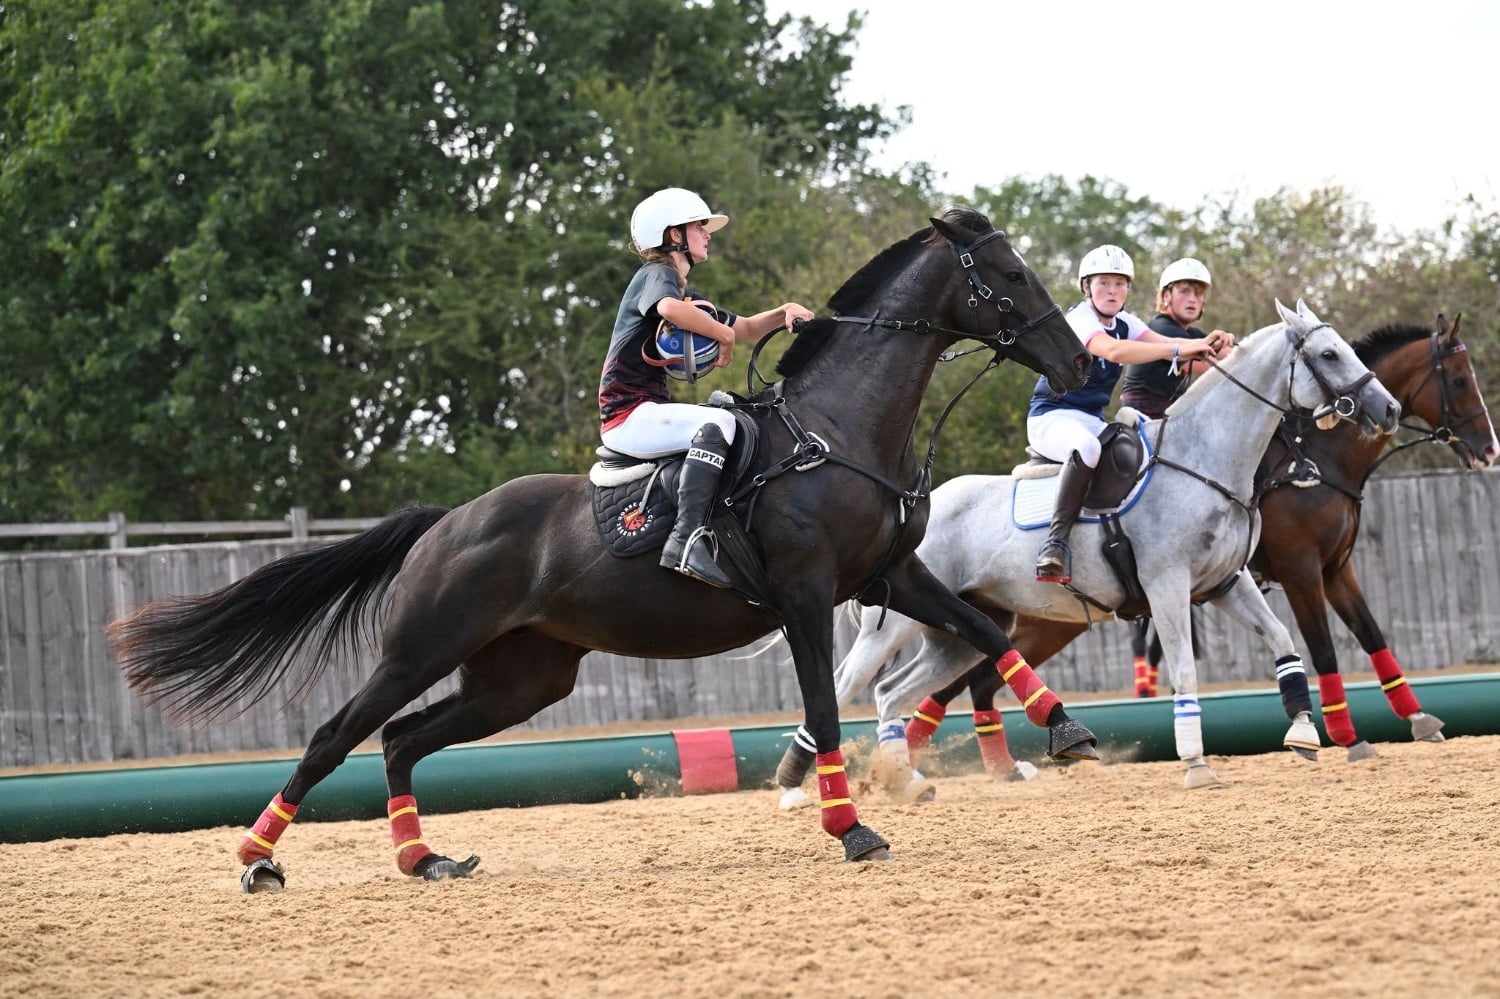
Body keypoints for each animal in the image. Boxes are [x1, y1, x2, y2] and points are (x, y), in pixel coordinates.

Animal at [106, 207, 1097, 891]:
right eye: (1008, 271)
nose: (1078, 363)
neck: (840, 428)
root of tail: (446, 522)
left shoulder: (893, 574)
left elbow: (984, 629)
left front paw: (1069, 731)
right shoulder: (808, 596)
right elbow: (822, 700)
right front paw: (849, 826)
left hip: (523, 677)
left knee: (399, 738)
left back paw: (423, 859)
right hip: (421, 645)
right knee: (335, 735)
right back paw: (257, 856)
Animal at [773, 299, 1401, 802]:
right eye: (1329, 354)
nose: (1390, 410)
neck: (1205, 460)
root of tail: (909, 508)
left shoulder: (1227, 583)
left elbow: (1283, 642)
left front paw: (1302, 731)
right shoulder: (1168, 584)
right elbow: (1185, 671)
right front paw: (1197, 764)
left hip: (961, 631)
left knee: (894, 690)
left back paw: (906, 778)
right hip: (896, 624)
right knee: (849, 685)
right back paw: (801, 788)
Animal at [889, 313, 1497, 778]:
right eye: (1458, 380)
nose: (1388, 409)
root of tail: (926, 503)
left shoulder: (1283, 574)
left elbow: (1338, 639)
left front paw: (1352, 726)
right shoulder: (1279, 572)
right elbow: (1309, 649)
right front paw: (1341, 738)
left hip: (1017, 620)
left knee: (971, 680)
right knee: (960, 683)